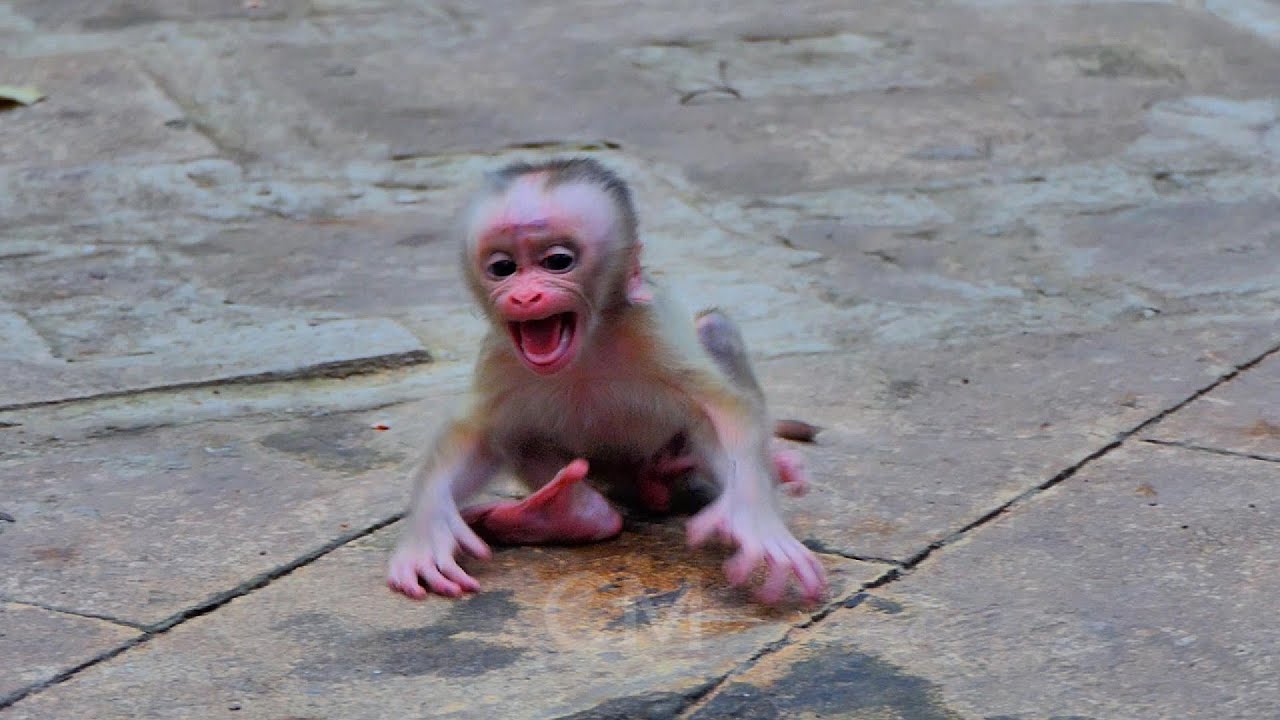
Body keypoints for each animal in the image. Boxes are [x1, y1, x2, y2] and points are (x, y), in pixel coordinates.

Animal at [387, 157, 827, 605]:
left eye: (557, 261)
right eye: (503, 268)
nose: (524, 297)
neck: (587, 347)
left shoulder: (647, 330)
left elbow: (723, 409)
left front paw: (753, 515)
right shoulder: (501, 354)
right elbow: (474, 433)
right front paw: (428, 527)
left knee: (715, 329)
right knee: (514, 428)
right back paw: (568, 513)